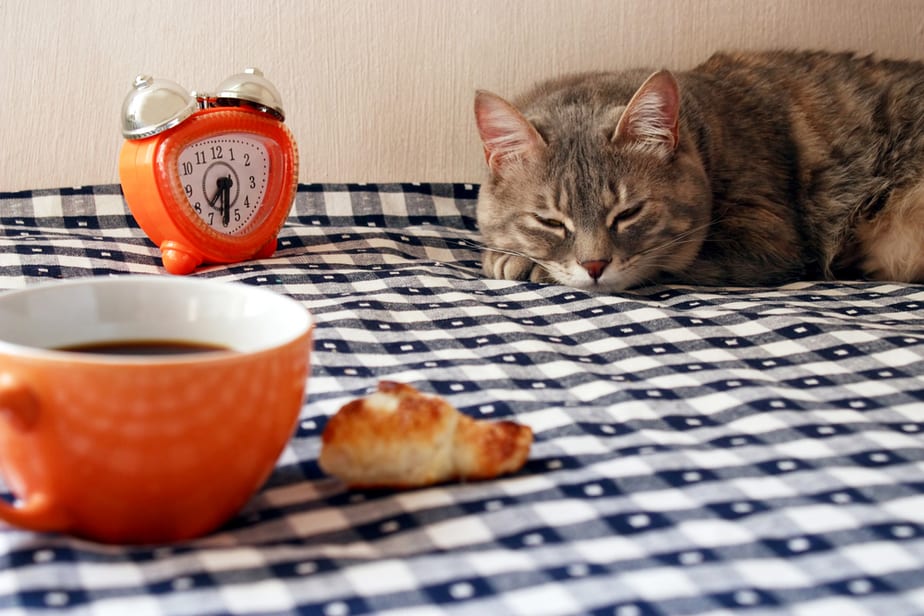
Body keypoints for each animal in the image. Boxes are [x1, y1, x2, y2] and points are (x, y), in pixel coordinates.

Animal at [472, 50, 924, 292]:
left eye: (629, 213)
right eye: (549, 221)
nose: (595, 266)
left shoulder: (767, 243)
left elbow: (670, 262)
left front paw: (519, 262)